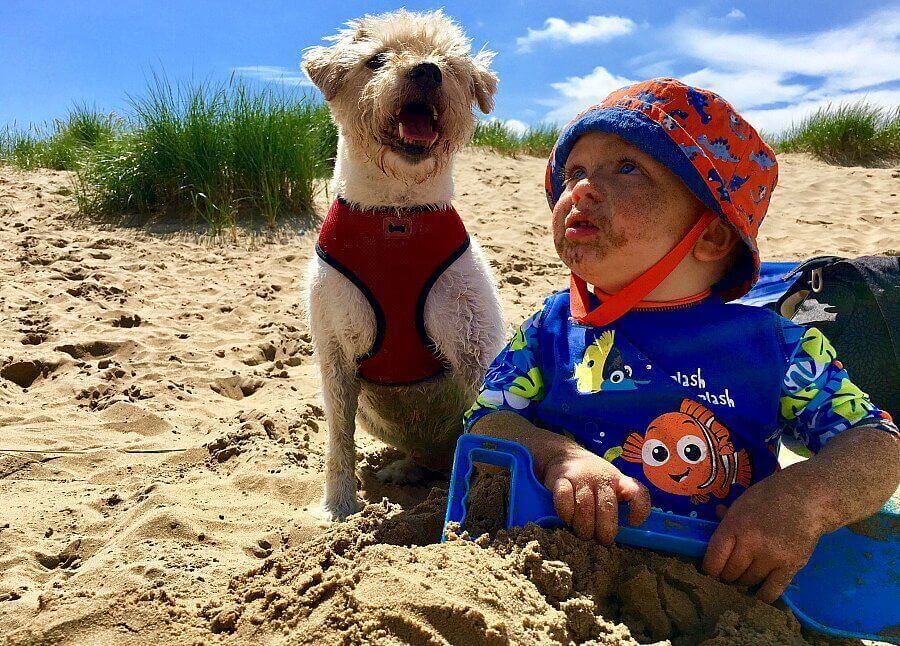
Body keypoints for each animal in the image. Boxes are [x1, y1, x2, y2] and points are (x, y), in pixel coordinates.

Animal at [302, 10, 506, 524]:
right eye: (376, 60)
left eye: (450, 63)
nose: (427, 71)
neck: (397, 214)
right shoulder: (335, 351)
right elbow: (339, 439)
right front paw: (338, 506)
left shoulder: (473, 340)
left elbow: (496, 423)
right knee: (425, 456)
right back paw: (406, 469)